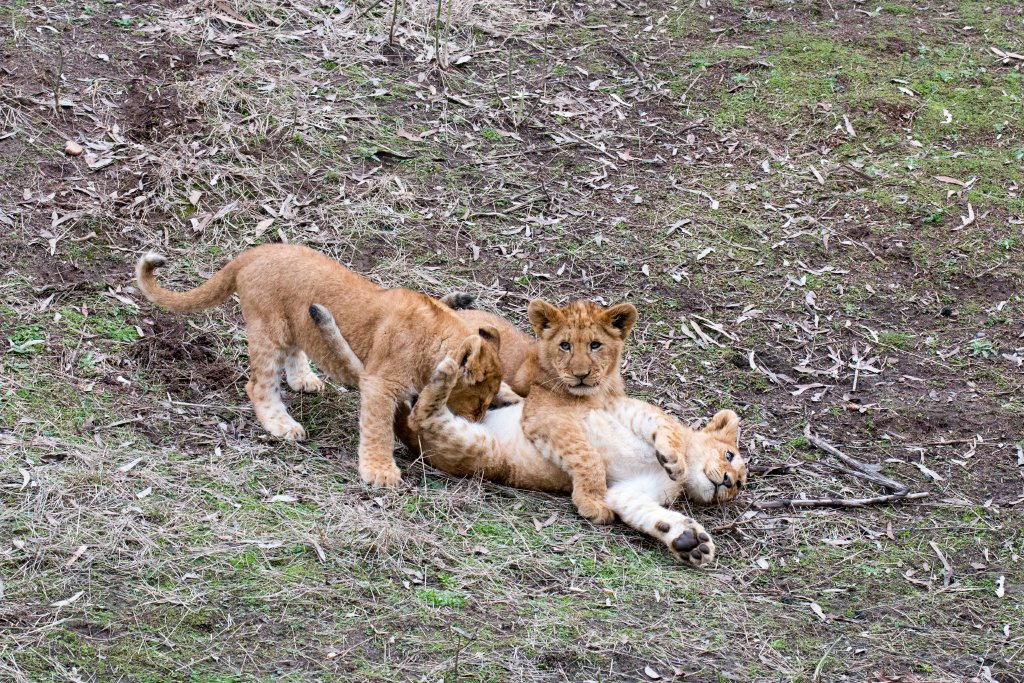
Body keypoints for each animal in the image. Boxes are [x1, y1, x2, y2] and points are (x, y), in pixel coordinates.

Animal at [136, 243, 507, 487]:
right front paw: (380, 472)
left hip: (292, 322)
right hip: (269, 328)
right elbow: (378, 430)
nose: (477, 423)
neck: (436, 339)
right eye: (478, 401)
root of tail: (254, 252)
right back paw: (282, 425)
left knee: (295, 349)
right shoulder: (380, 384)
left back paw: (305, 379)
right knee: (258, 385)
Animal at [309, 302, 747, 566]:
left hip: (477, 446)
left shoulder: (631, 491)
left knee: (421, 413)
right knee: (422, 410)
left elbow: (646, 513)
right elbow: (647, 436)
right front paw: (671, 459)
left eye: (740, 486)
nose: (728, 483)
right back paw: (450, 369)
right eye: (729, 457)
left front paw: (691, 542)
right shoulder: (611, 410)